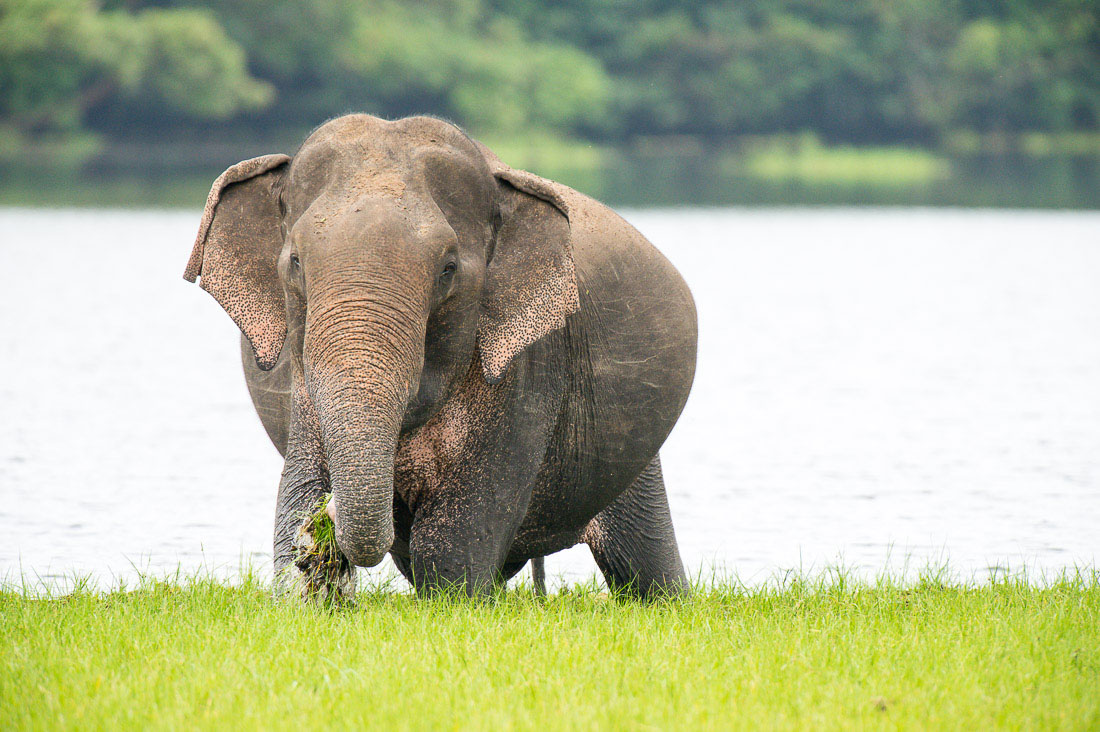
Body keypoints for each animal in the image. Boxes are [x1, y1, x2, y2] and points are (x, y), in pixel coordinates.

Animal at [180, 112, 695, 594]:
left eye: (448, 269)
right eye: (295, 262)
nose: (332, 522)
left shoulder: (532, 368)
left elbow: (454, 542)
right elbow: (297, 493)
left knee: (646, 559)